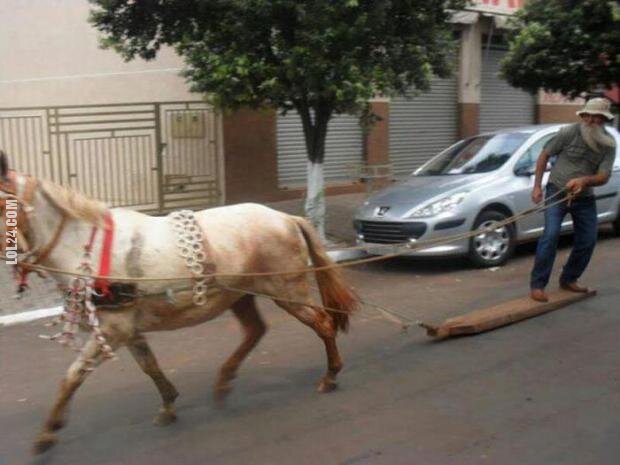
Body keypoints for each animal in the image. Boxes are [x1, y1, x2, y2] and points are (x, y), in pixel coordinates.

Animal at [0, 151, 358, 454]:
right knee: (256, 330)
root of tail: (287, 218)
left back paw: (330, 375)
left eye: (4, 207)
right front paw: (169, 404)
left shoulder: (113, 331)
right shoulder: (126, 330)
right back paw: (225, 380)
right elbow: (149, 366)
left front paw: (48, 433)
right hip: (239, 295)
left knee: (323, 323)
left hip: (288, 292)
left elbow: (72, 376)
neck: (90, 247)